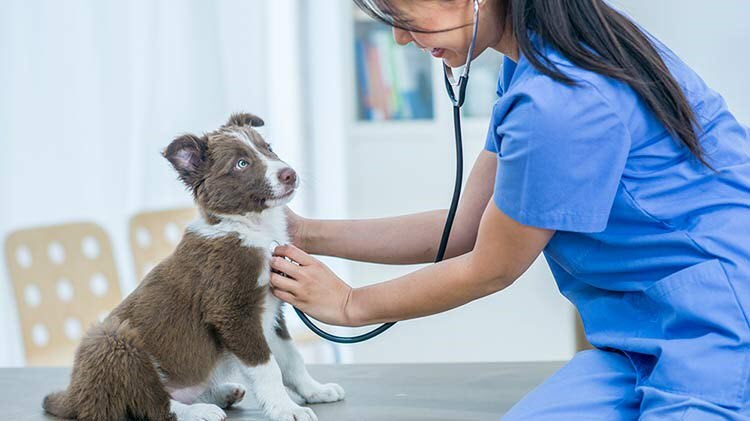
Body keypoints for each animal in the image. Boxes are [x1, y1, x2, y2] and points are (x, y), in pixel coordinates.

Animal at [41, 113, 346, 418]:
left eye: (267, 147)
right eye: (241, 163)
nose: (289, 174)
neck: (250, 227)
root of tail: (75, 396)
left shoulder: (272, 311)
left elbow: (291, 357)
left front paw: (315, 390)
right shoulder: (232, 312)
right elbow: (267, 367)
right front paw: (286, 409)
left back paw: (223, 394)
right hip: (114, 342)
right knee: (155, 403)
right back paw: (198, 411)